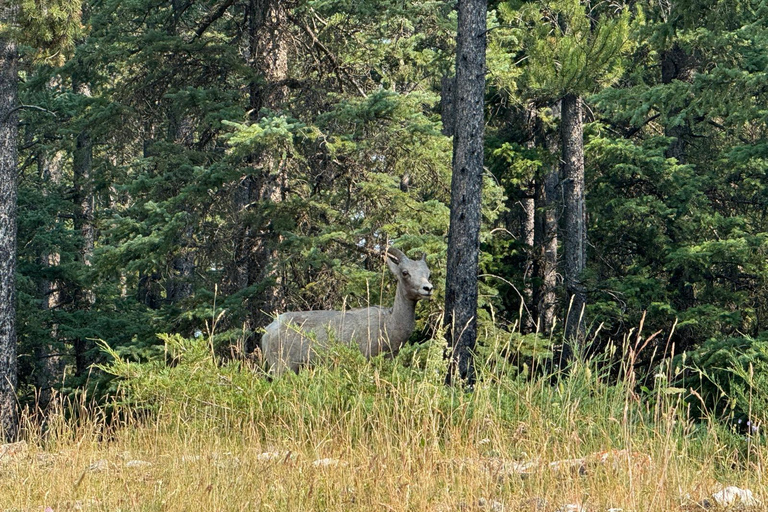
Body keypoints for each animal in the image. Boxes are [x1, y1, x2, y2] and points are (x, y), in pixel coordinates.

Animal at [262, 248, 432, 376]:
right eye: (404, 272)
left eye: (428, 273)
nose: (428, 288)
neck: (390, 326)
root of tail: (267, 332)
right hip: (282, 368)